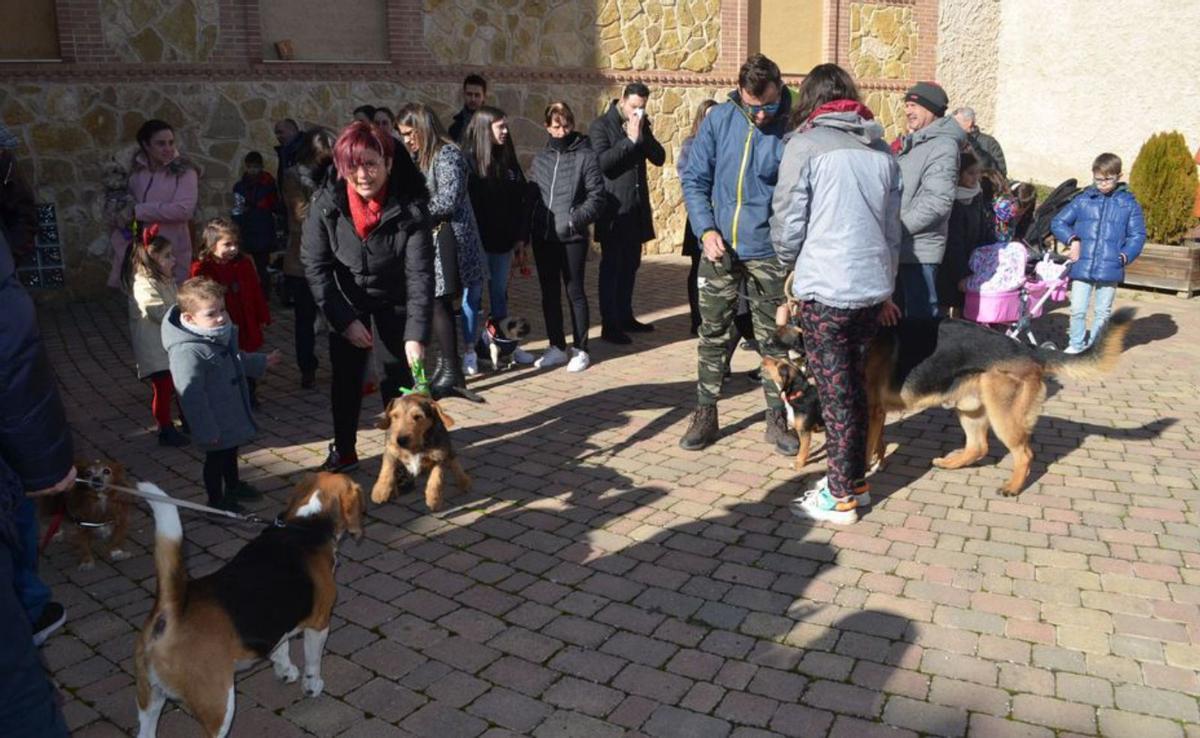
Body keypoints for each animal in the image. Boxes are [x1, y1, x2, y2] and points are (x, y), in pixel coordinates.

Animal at [134, 472, 362, 738]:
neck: (306, 524)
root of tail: (172, 609)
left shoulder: (276, 622)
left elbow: (280, 648)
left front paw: (285, 671)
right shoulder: (319, 623)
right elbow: (313, 660)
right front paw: (312, 685)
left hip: (149, 698)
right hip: (219, 705)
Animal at [777, 306, 1132, 496]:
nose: (768, 337)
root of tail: (1029, 350)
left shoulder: (870, 410)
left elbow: (864, 447)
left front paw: (862, 469)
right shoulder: (877, 413)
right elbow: (878, 443)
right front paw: (878, 461)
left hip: (1002, 415)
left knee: (1024, 453)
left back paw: (1013, 486)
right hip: (970, 409)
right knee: (979, 447)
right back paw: (950, 463)